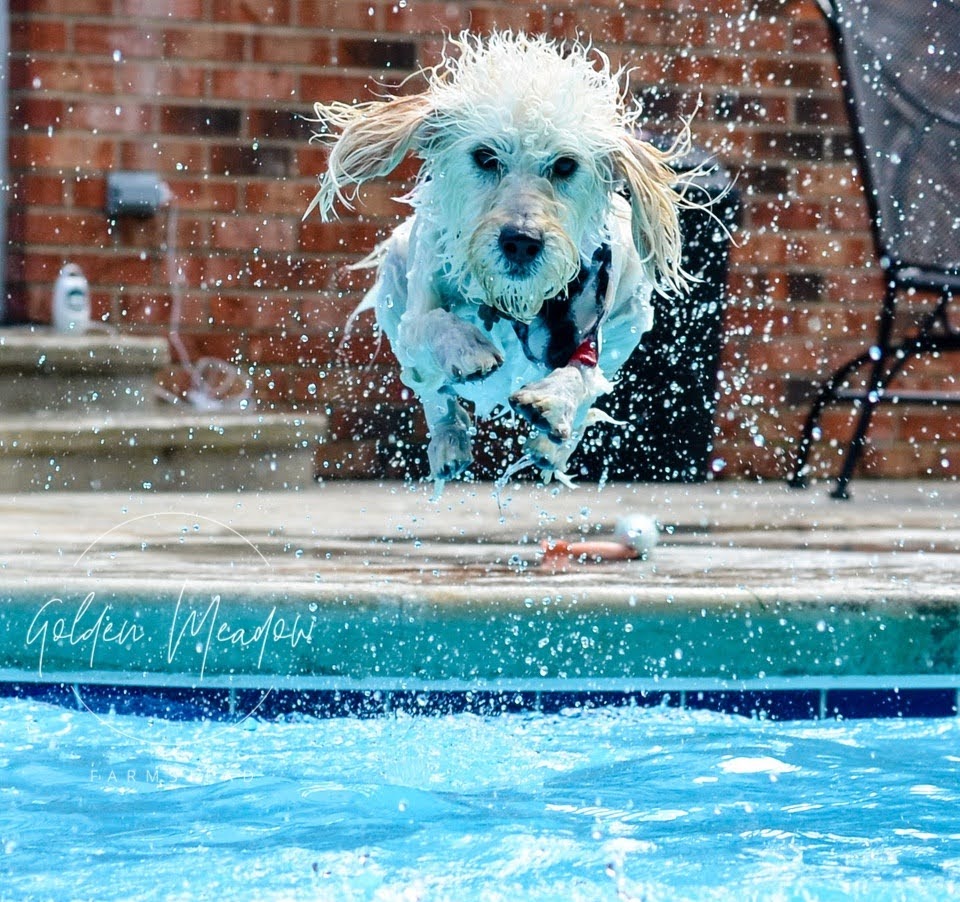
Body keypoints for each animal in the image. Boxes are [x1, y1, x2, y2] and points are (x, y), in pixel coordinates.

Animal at [310, 30, 704, 488]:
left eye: (565, 165)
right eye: (485, 156)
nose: (521, 241)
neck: (513, 303)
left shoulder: (590, 319)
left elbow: (582, 373)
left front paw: (552, 401)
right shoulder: (415, 313)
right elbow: (433, 321)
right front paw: (467, 346)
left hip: (631, 317)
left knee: (588, 398)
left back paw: (551, 446)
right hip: (395, 278)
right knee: (433, 391)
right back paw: (449, 440)